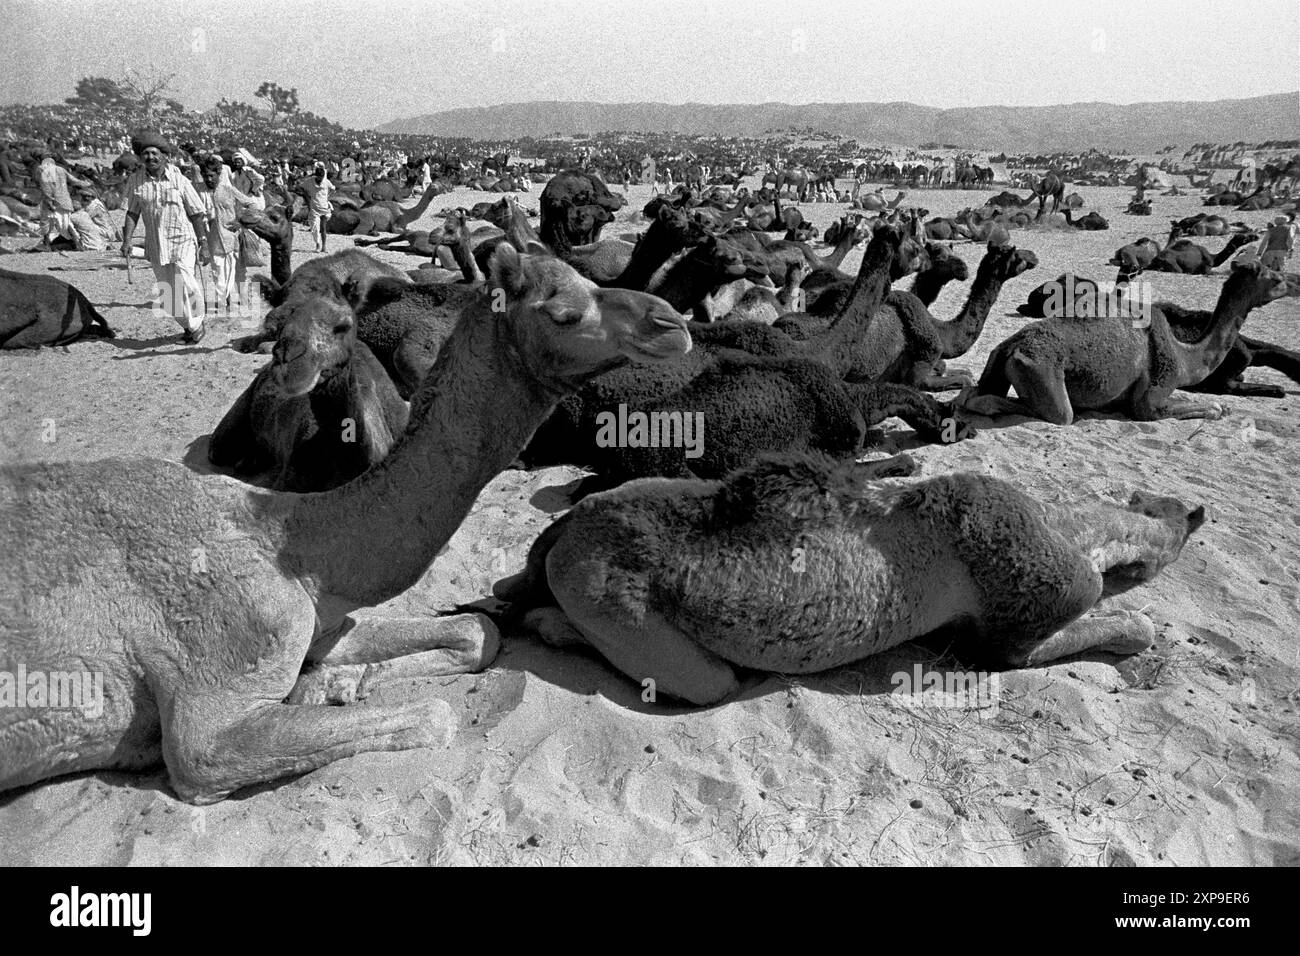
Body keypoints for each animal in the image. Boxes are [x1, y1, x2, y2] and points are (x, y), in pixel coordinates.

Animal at [491, 452, 1201, 707]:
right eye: (1167, 513)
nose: (1196, 512)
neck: (1069, 530)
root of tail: (566, 531)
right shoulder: (1004, 640)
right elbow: (1128, 626)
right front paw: (1138, 627)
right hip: (612, 597)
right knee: (705, 681)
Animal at [961, 261, 1294, 426]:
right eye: (1276, 279)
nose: (1293, 283)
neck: (1186, 357)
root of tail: (1010, 346)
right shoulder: (1153, 395)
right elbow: (1174, 408)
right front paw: (1220, 408)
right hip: (1039, 369)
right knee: (1058, 414)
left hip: (997, 362)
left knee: (976, 393)